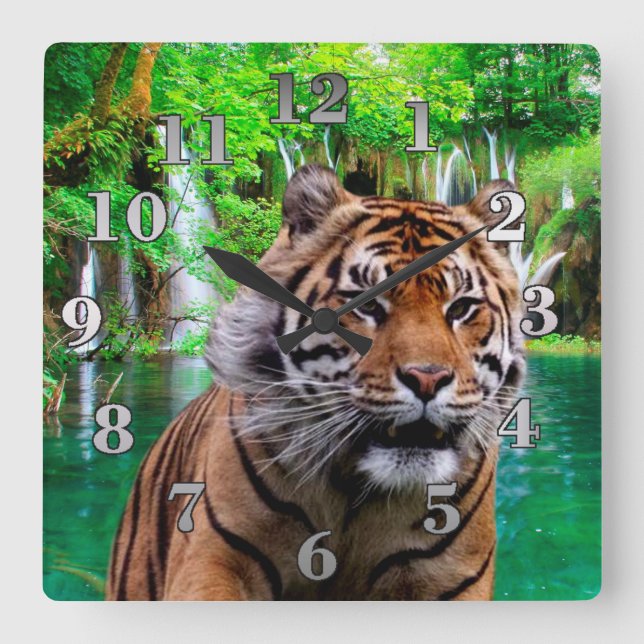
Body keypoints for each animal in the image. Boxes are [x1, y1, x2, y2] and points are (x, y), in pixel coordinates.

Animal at [106, 164, 525, 601]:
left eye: (461, 308)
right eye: (367, 305)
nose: (427, 379)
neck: (358, 499)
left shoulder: (451, 578)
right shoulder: (215, 556)